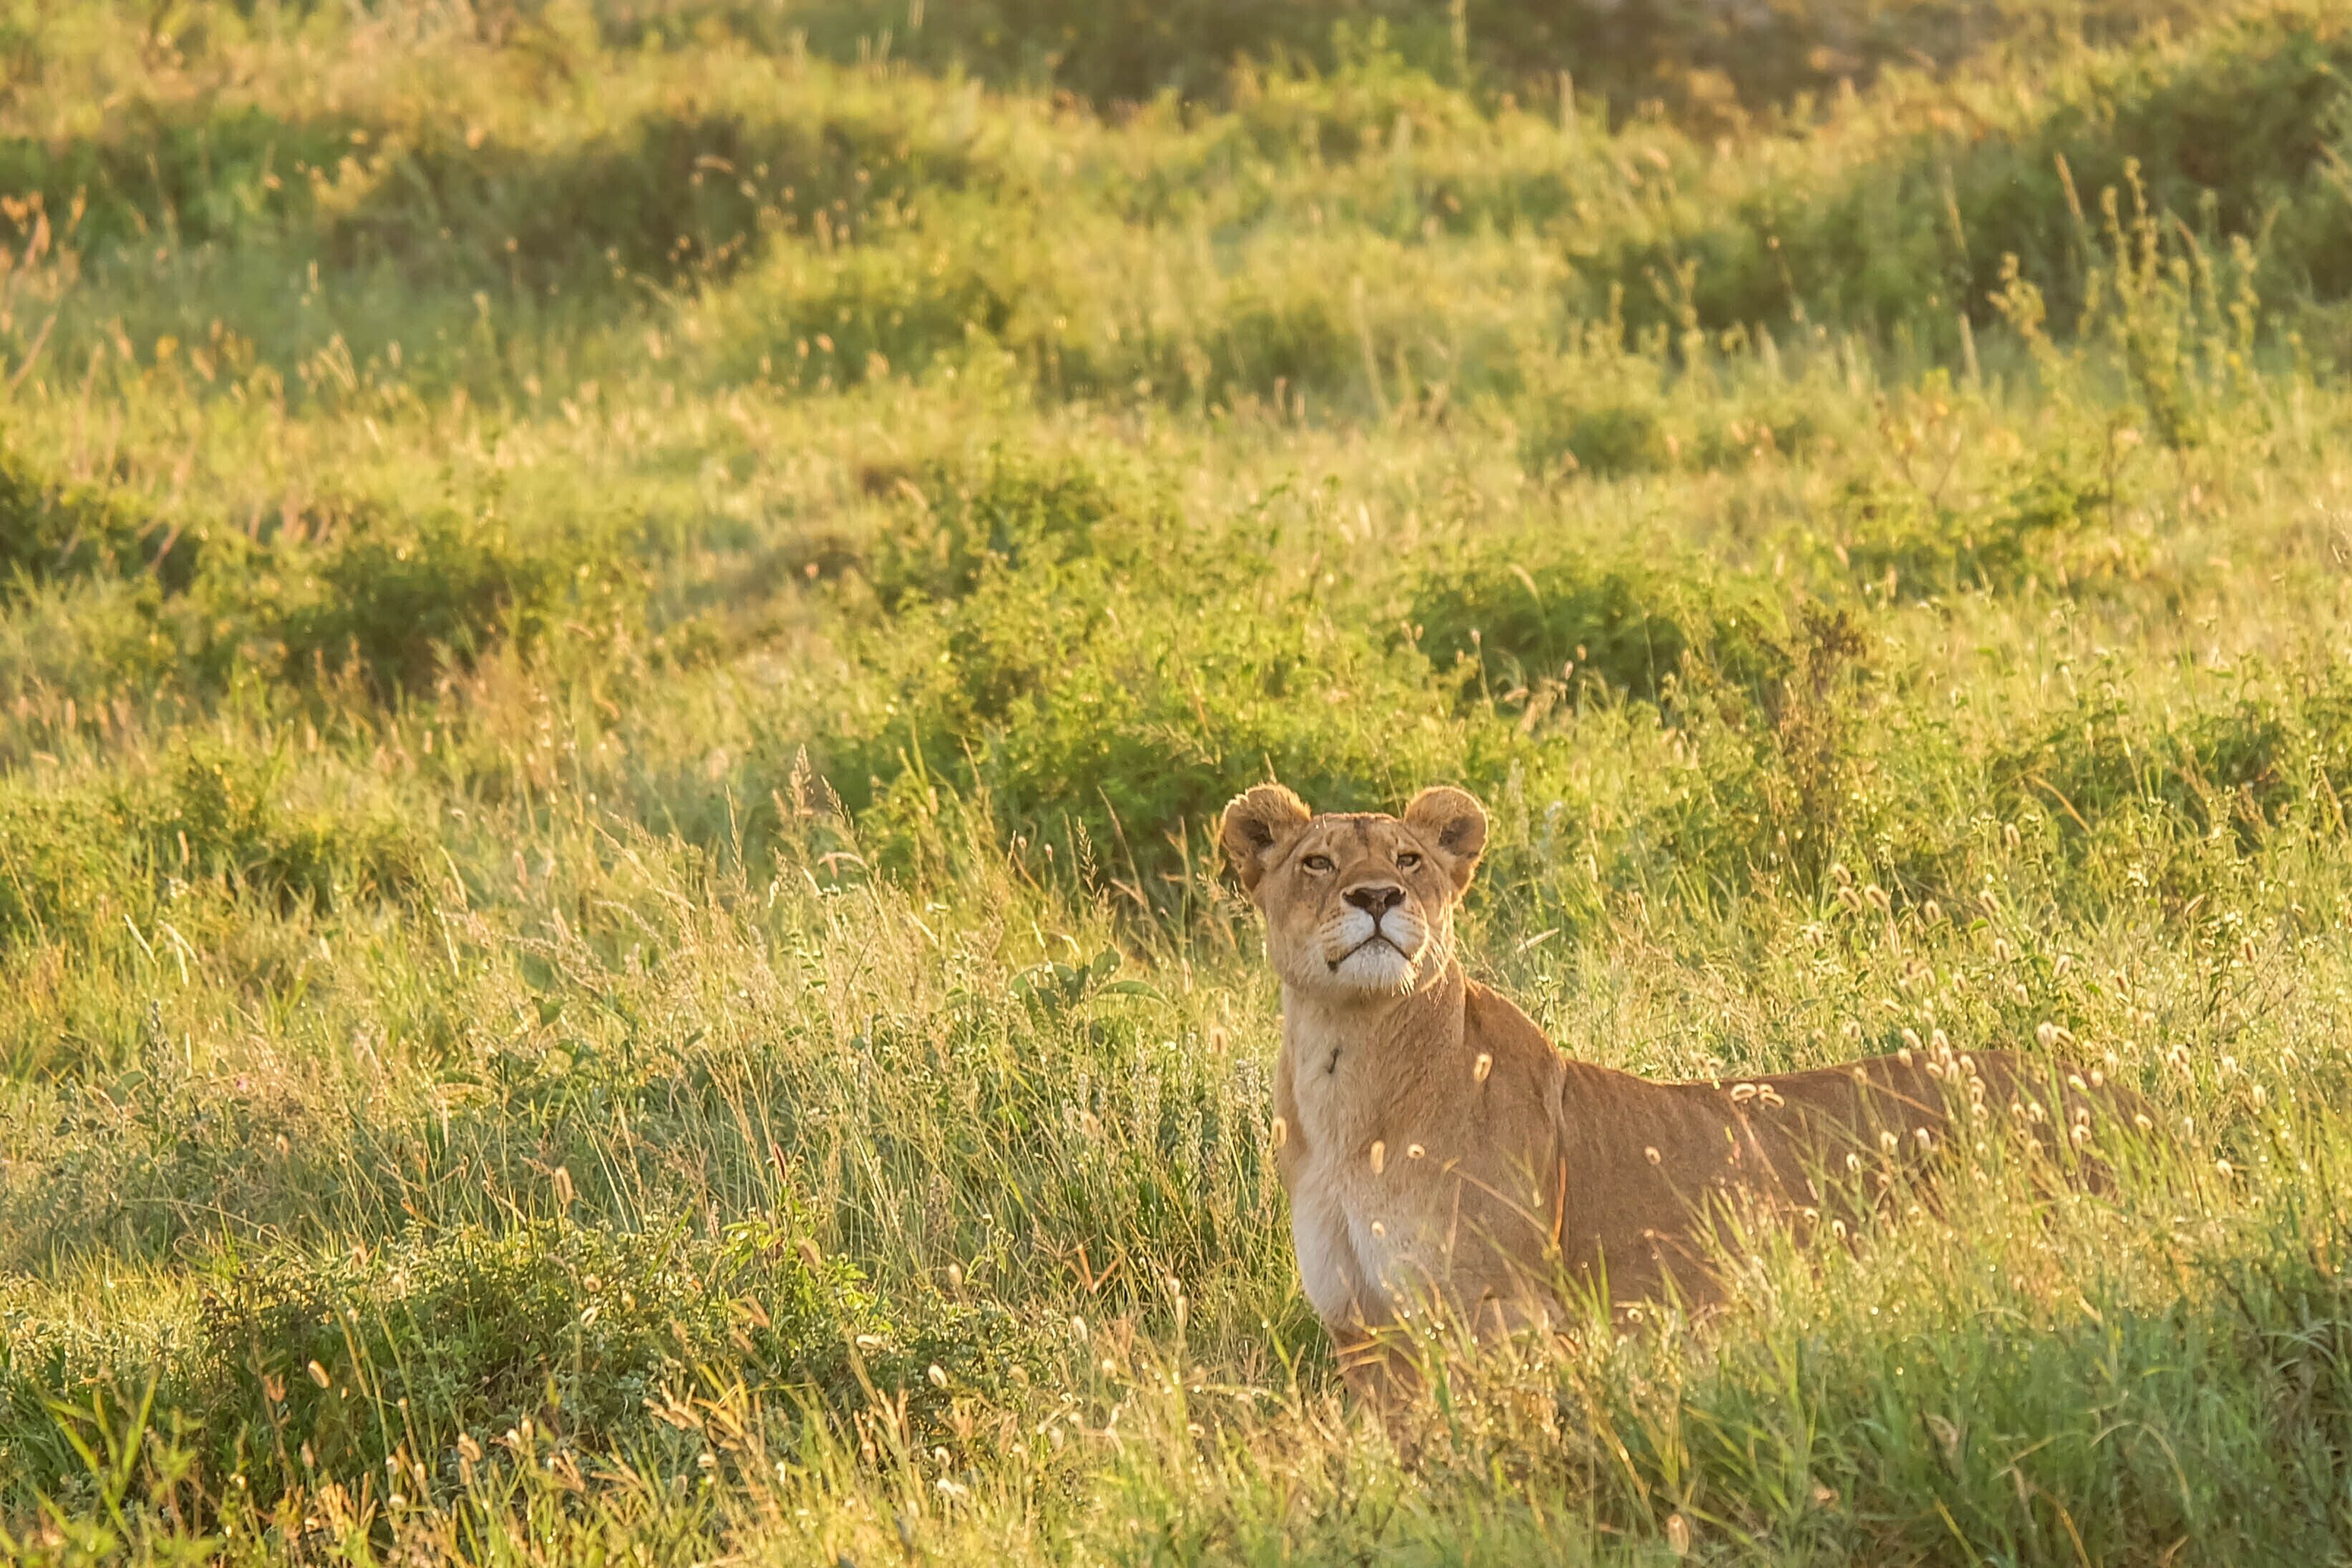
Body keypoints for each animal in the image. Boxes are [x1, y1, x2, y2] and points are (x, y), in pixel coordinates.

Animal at [1220, 781, 2142, 1400]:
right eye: (1317, 862)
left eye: (1409, 859)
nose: (1379, 896)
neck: (1349, 1078)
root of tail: (2123, 1091)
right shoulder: (1363, 1334)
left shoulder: (1499, 1315)